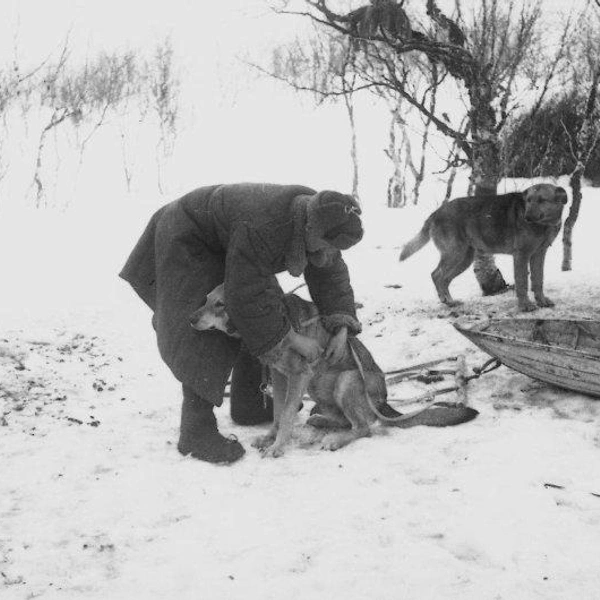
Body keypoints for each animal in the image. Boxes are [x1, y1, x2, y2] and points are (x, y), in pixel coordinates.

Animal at [190, 284, 476, 458]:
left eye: (220, 304)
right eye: (205, 300)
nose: (190, 319)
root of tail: (383, 403)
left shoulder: (298, 376)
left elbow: (286, 416)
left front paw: (278, 446)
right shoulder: (279, 376)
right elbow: (278, 414)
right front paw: (270, 437)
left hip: (345, 380)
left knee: (363, 427)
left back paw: (336, 440)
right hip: (320, 389)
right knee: (346, 420)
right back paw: (321, 421)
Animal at [398, 183, 568, 312]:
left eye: (542, 200)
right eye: (528, 200)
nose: (526, 217)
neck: (545, 225)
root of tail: (435, 213)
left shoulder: (538, 255)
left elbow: (538, 280)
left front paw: (542, 301)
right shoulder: (521, 255)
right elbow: (522, 283)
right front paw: (525, 306)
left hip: (464, 259)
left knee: (443, 279)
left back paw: (450, 301)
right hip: (455, 254)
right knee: (436, 275)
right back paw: (446, 300)